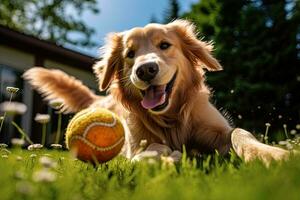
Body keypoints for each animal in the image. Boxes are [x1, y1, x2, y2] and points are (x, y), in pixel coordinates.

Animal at [22, 19, 288, 165]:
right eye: (130, 54)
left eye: (164, 45)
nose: (145, 70)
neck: (171, 118)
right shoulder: (138, 144)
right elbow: (152, 149)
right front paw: (165, 156)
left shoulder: (218, 130)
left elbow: (241, 134)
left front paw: (273, 155)